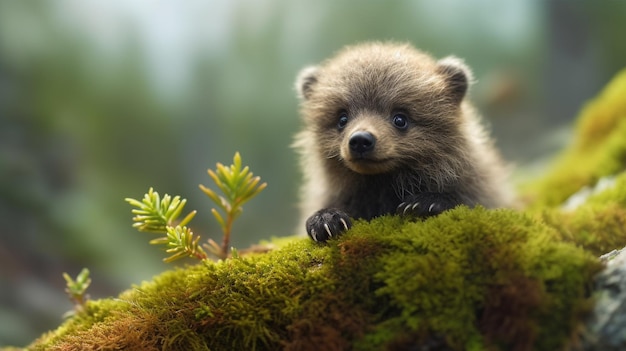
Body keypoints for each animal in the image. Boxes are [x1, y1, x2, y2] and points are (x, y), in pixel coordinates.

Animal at [290, 42, 510, 242]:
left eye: (400, 118)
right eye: (342, 118)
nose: (360, 140)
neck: (383, 185)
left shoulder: (479, 185)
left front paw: (426, 202)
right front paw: (325, 219)